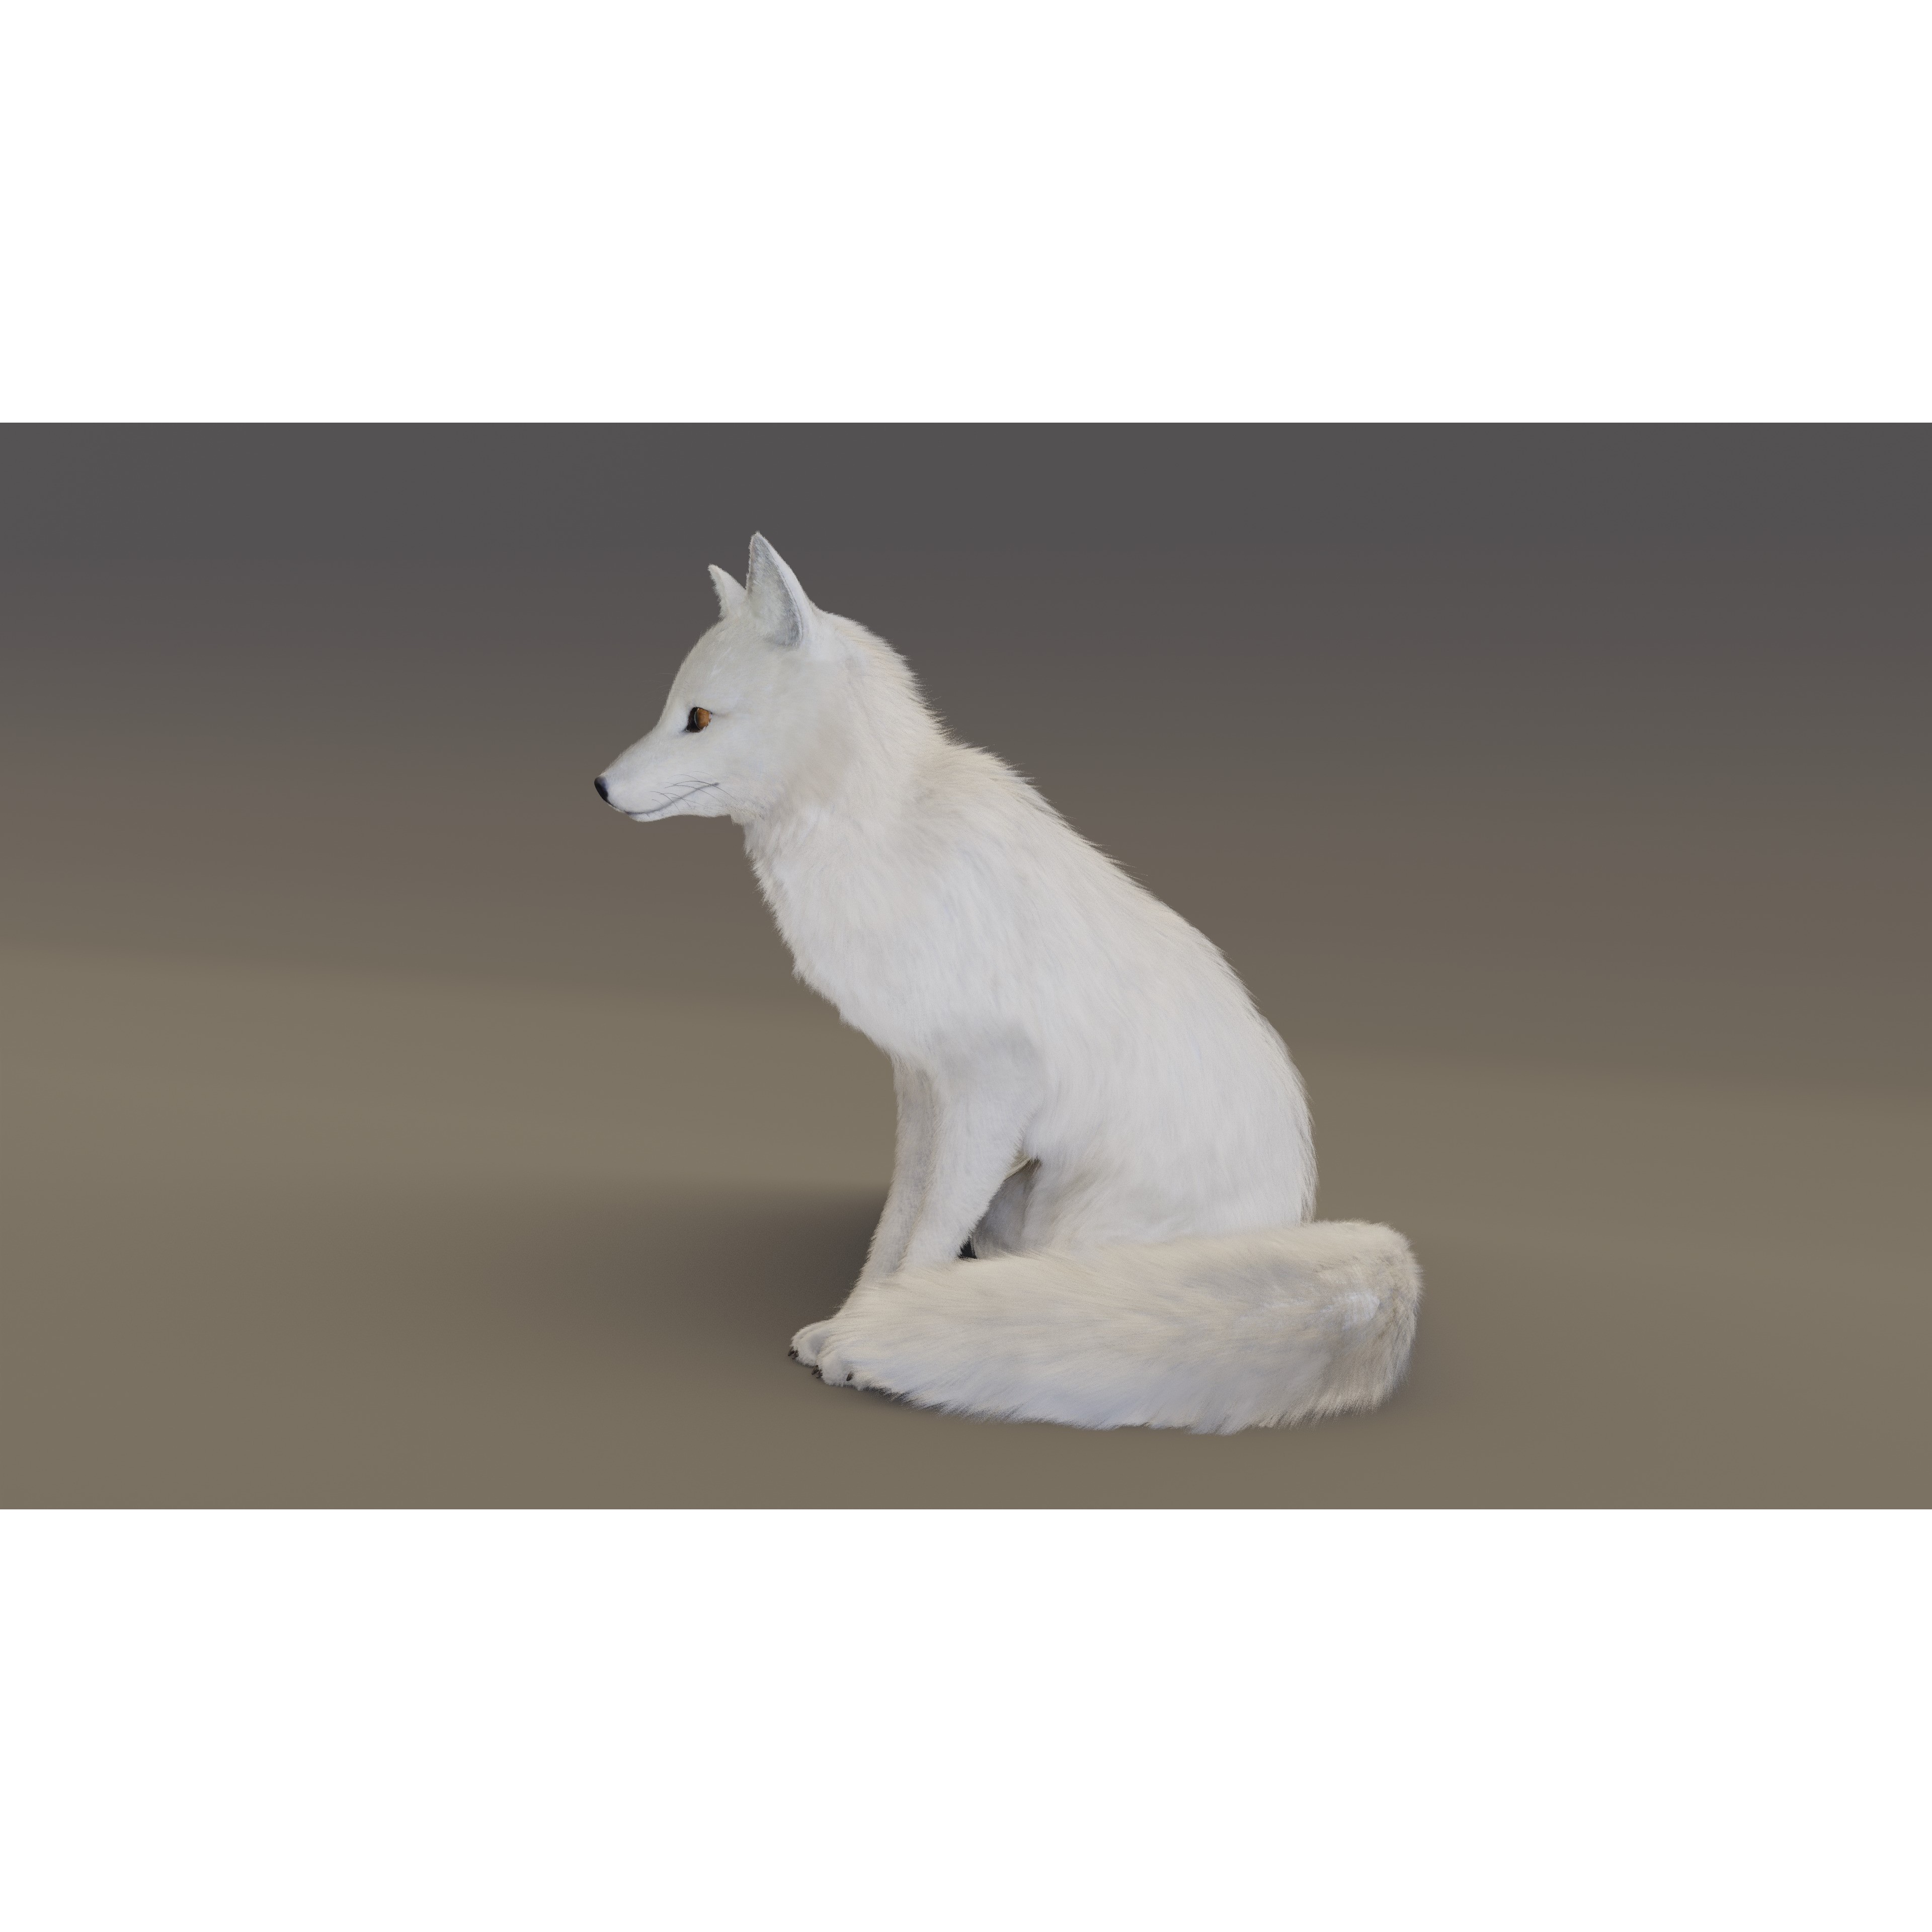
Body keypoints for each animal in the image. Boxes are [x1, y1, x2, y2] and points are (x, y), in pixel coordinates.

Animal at [595, 535, 1420, 1433]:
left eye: (699, 718)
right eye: (671, 709)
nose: (598, 785)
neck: (881, 840)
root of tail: (1297, 1221)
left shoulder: (989, 1087)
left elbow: (925, 1235)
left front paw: (864, 1341)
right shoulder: (921, 1085)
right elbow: (896, 1224)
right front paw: (851, 1322)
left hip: (1077, 1218)